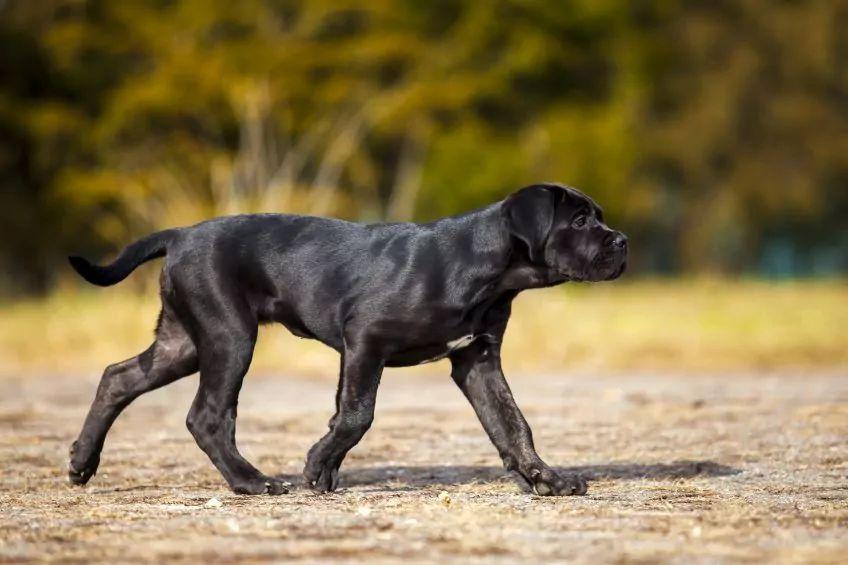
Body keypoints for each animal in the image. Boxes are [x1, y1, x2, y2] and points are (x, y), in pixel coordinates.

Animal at [68, 183, 624, 496]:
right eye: (579, 220)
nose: (621, 241)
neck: (484, 266)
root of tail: (181, 234)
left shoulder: (477, 358)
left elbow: (512, 425)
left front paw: (545, 479)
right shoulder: (365, 341)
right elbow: (357, 414)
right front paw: (318, 467)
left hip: (184, 342)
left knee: (118, 377)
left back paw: (81, 462)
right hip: (229, 335)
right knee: (206, 415)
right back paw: (252, 482)